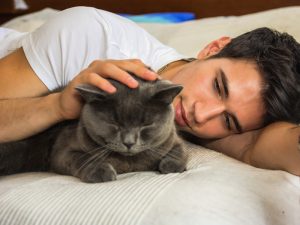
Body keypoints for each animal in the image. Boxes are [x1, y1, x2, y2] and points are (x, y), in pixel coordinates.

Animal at [0, 75, 188, 183]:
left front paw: (171, 165)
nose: (129, 142)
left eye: (146, 124)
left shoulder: (172, 138)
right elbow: (82, 158)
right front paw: (101, 171)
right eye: (113, 122)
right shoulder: (61, 151)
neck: (129, 164)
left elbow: (180, 150)